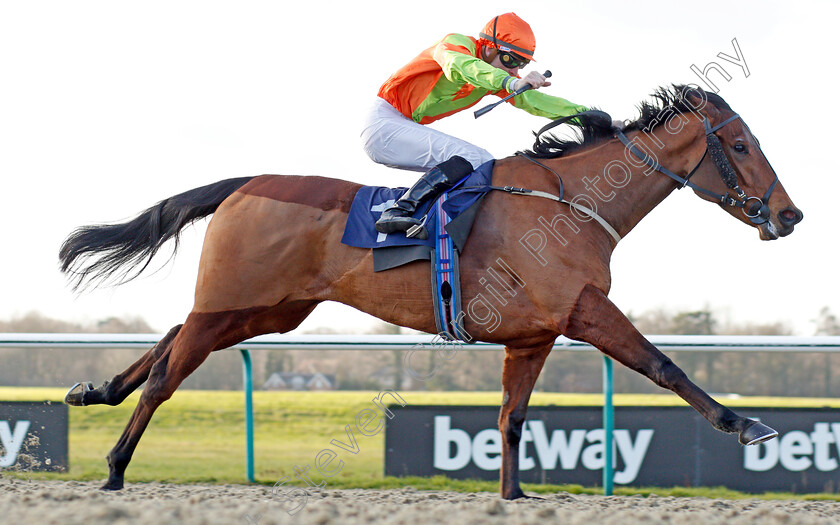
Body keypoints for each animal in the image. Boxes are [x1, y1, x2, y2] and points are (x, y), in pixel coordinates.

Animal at [60, 85, 800, 496]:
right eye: (739, 144)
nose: (790, 215)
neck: (570, 200)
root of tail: (246, 183)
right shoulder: (585, 308)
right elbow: (663, 363)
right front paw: (746, 424)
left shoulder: (534, 335)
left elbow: (512, 418)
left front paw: (513, 494)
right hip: (238, 302)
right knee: (168, 374)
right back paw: (115, 466)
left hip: (265, 307)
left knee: (169, 337)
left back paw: (94, 389)